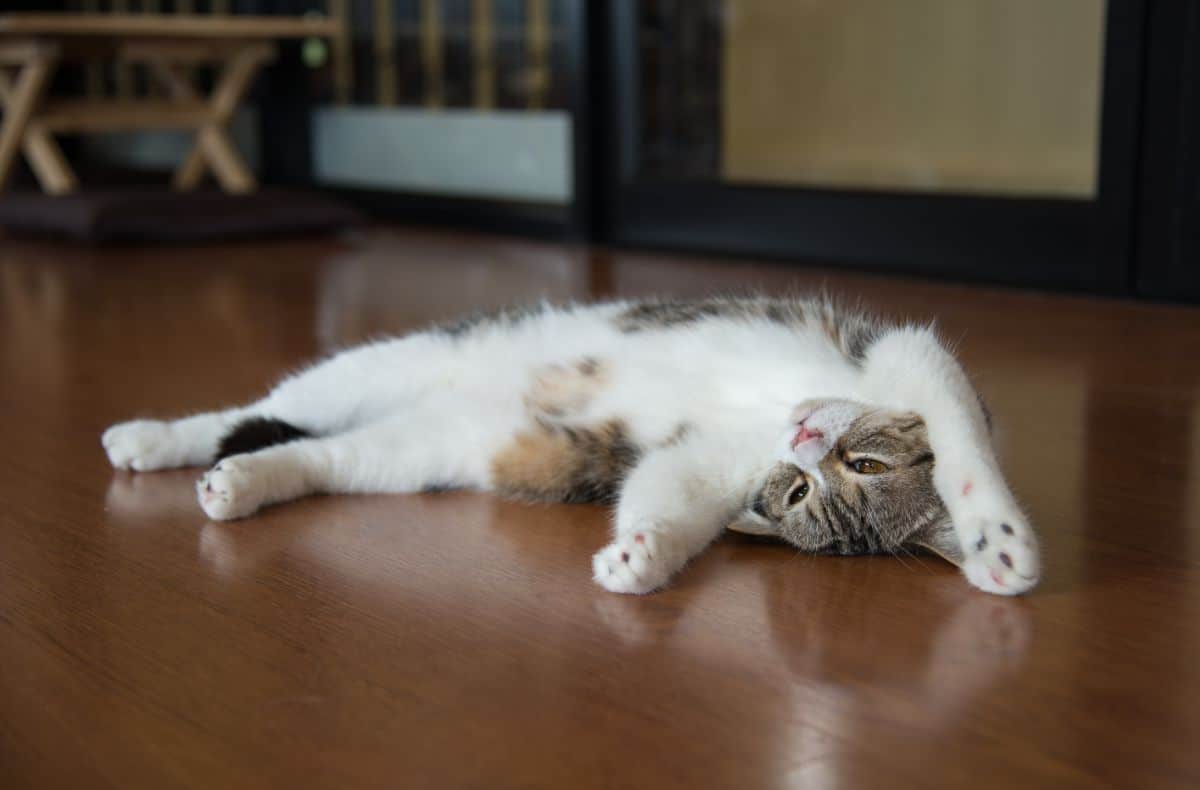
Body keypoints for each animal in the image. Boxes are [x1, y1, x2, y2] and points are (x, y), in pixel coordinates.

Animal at [103, 294, 1041, 590]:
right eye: (862, 461)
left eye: (803, 492)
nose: (806, 435)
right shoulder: (903, 354)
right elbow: (963, 435)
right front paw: (999, 539)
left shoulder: (706, 462)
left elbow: (668, 494)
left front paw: (641, 557)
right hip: (385, 362)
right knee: (263, 404)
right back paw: (149, 436)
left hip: (424, 449)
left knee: (319, 454)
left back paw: (239, 483)